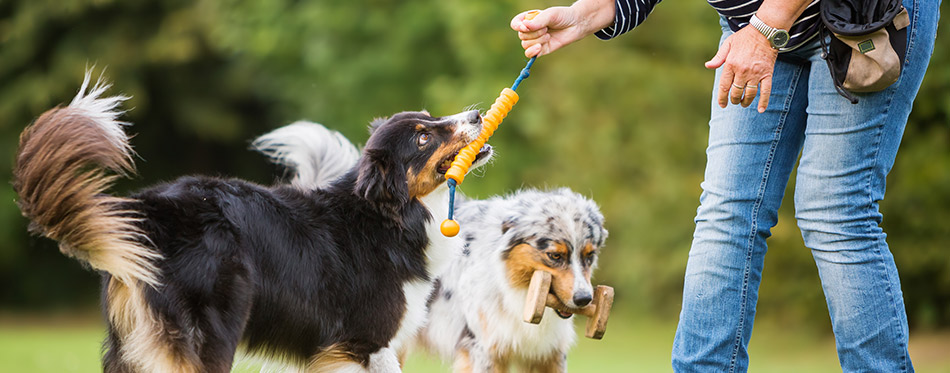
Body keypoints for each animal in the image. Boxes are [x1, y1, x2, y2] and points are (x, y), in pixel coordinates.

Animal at [13, 73, 490, 372]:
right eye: (424, 137)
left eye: (430, 118)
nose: (477, 116)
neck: (387, 213)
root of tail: (150, 207)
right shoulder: (366, 341)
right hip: (211, 333)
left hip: (129, 345)